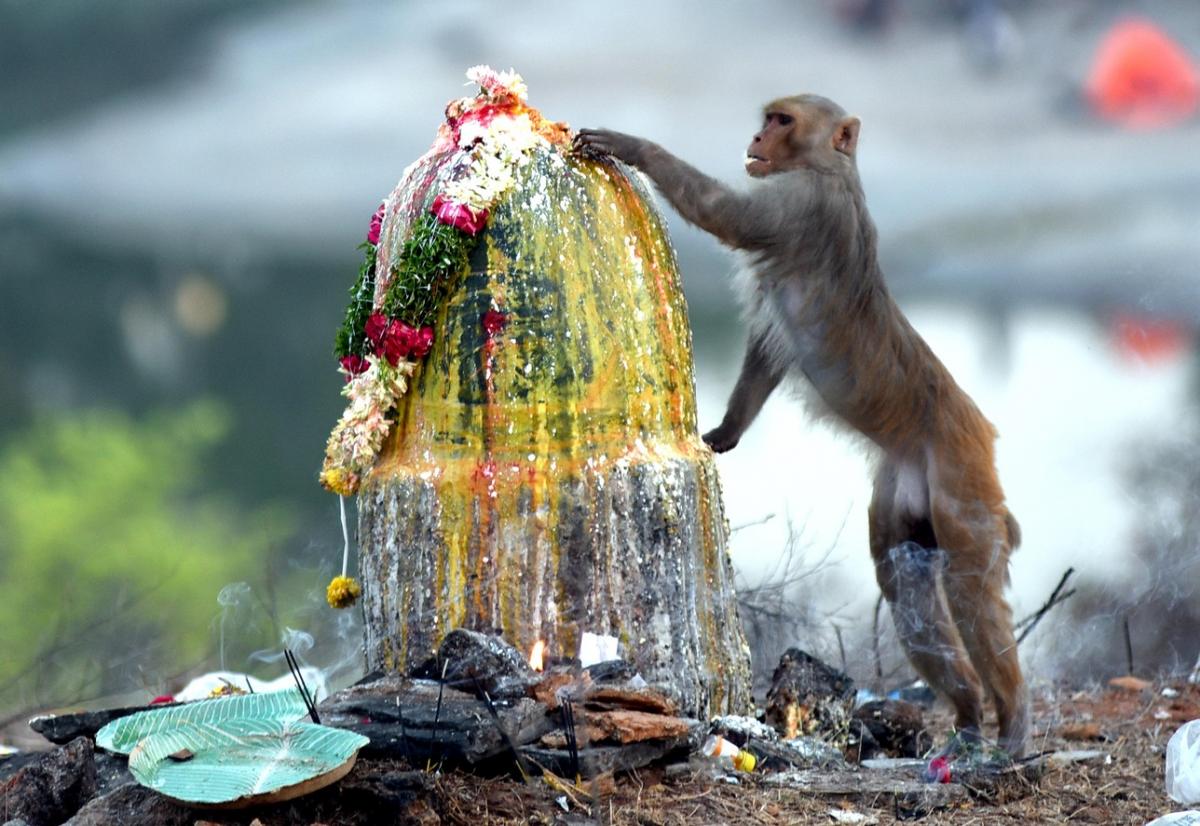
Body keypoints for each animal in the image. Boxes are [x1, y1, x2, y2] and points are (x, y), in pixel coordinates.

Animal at [576, 93, 1027, 758]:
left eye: (782, 121)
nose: (758, 137)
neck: (834, 170)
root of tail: (980, 429)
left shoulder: (800, 203)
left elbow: (725, 215)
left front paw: (631, 147)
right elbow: (767, 350)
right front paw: (726, 432)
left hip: (962, 470)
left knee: (972, 589)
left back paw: (1013, 723)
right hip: (905, 489)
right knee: (906, 586)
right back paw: (969, 716)